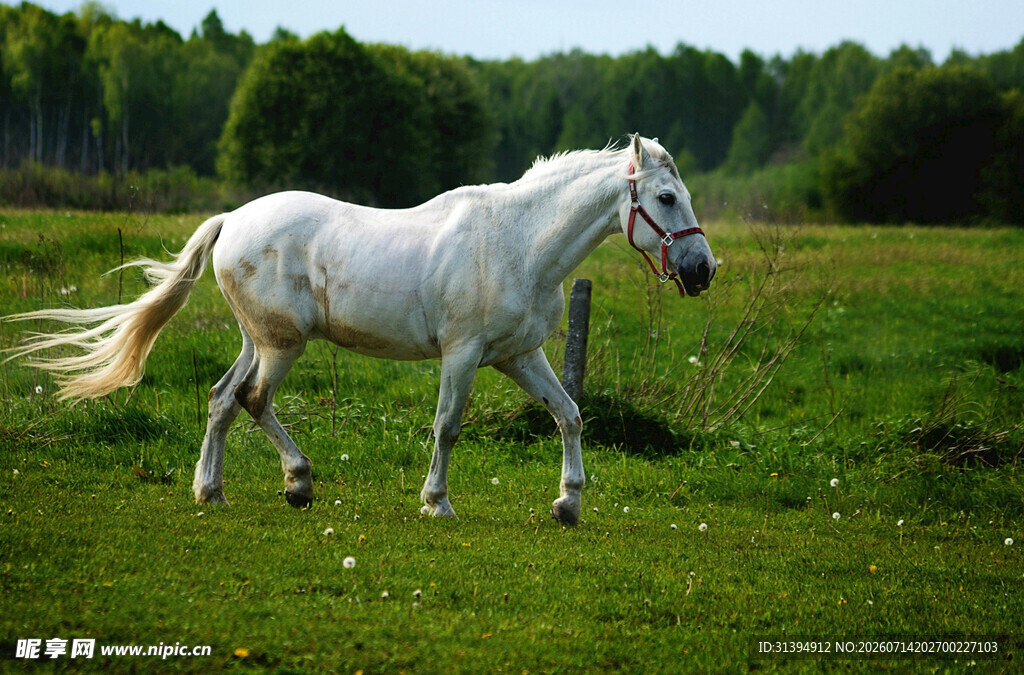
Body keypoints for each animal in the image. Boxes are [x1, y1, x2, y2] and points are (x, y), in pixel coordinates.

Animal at [4, 134, 715, 525]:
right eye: (666, 198)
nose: (703, 270)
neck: (518, 241)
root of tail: (232, 220)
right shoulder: (463, 354)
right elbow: (447, 426)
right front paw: (437, 503)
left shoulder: (520, 356)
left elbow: (568, 415)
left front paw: (567, 504)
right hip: (282, 345)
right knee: (251, 399)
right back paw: (297, 482)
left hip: (258, 340)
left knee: (221, 400)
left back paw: (212, 491)